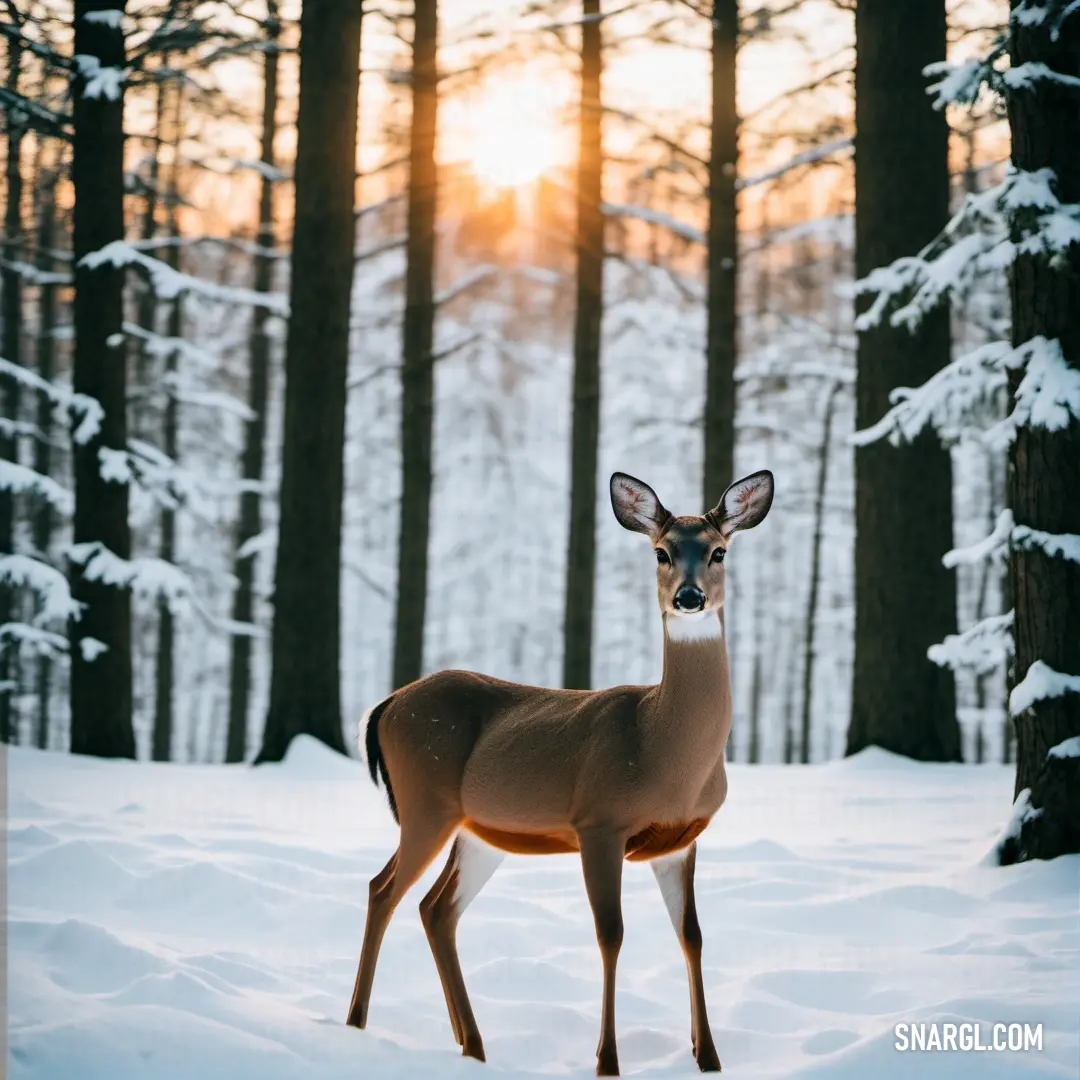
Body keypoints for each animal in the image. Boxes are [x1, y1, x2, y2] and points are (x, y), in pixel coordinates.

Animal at [345, 468, 777, 1075]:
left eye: (719, 551)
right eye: (661, 552)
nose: (688, 597)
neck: (664, 749)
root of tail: (384, 705)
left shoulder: (682, 839)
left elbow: (691, 935)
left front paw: (709, 1057)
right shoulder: (599, 822)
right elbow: (610, 934)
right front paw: (607, 1061)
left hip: (480, 831)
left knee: (436, 908)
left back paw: (473, 1045)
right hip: (425, 802)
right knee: (383, 889)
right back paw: (357, 1025)